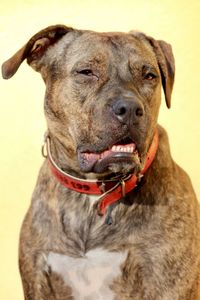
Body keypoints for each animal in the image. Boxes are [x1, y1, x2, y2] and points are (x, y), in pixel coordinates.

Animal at [1, 24, 200, 298]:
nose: (130, 108)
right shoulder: (38, 280)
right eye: (86, 72)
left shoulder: (167, 283)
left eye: (149, 75)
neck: (94, 194)